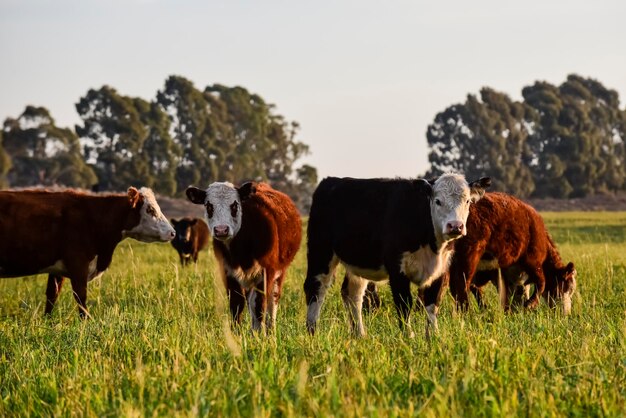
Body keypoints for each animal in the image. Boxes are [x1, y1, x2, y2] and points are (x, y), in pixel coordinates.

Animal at [0, 186, 176, 316]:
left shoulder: (57, 270)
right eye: (151, 210)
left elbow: (52, 296)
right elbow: (81, 298)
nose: (172, 232)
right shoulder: (78, 265)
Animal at [184, 181, 302, 332]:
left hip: (279, 272)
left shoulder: (265, 273)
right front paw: (237, 332)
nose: (221, 230)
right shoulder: (228, 272)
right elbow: (237, 304)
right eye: (209, 206)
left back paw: (270, 330)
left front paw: (260, 334)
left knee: (272, 301)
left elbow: (260, 305)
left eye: (234, 205)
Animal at [304, 173, 490, 336]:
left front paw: (433, 337)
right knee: (316, 288)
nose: (455, 226)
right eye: (437, 201)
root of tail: (331, 181)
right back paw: (312, 332)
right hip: (320, 252)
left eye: (467, 201)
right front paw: (408, 336)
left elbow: (432, 304)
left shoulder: (441, 270)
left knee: (353, 294)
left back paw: (359, 334)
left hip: (358, 262)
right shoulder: (397, 270)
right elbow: (404, 304)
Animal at [446, 193, 576, 314]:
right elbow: (541, 282)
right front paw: (529, 304)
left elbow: (513, 293)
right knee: (462, 284)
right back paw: (466, 312)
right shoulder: (533, 261)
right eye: (567, 289)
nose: (566, 314)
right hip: (469, 255)